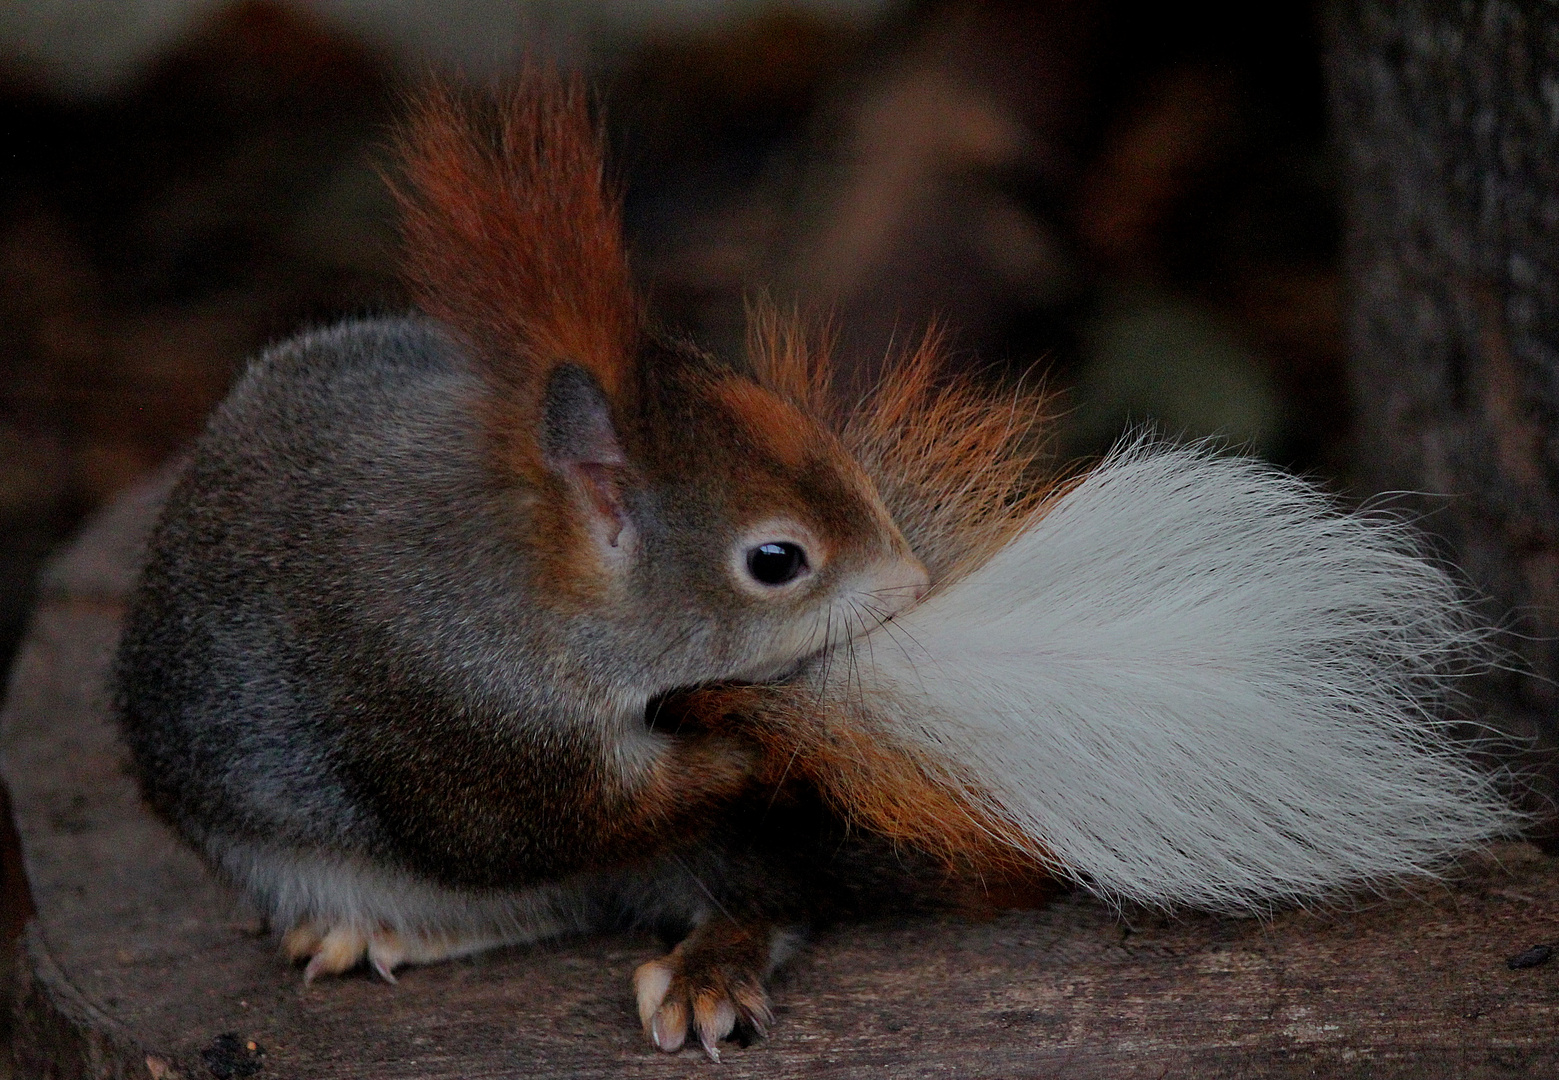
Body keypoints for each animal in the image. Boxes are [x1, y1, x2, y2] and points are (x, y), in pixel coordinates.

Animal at [115, 65, 1527, 1053]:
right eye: (775, 560)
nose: (907, 588)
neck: (533, 576)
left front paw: (754, 731)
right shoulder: (461, 721)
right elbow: (548, 814)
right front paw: (747, 729)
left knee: (758, 891)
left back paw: (705, 967)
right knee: (540, 899)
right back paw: (366, 932)